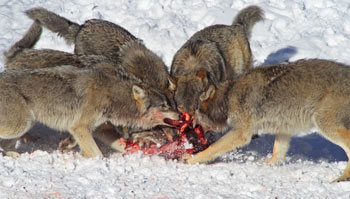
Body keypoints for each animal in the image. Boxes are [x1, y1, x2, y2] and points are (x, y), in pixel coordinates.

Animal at [186, 58, 350, 182]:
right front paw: (266, 166)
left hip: (324, 124)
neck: (228, 96)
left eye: (195, 112)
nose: (192, 125)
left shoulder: (241, 133)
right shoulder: (284, 129)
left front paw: (190, 159)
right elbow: (277, 152)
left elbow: (212, 148)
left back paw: (341, 178)